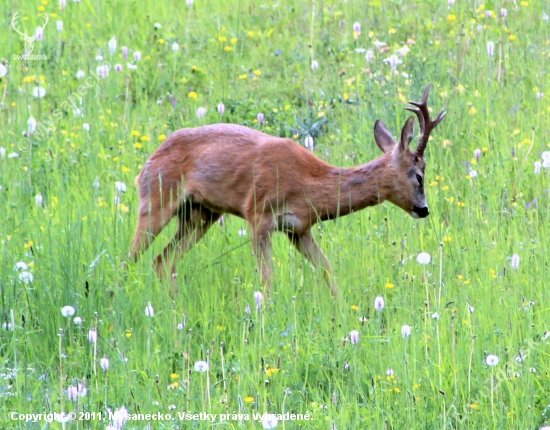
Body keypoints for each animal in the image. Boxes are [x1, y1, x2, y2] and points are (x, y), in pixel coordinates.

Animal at [130, 85, 448, 298]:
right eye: (419, 175)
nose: (424, 209)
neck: (308, 183)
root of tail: (148, 161)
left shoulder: (300, 229)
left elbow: (327, 270)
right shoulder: (258, 214)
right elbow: (267, 278)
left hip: (200, 214)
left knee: (163, 261)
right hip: (156, 200)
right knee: (133, 256)